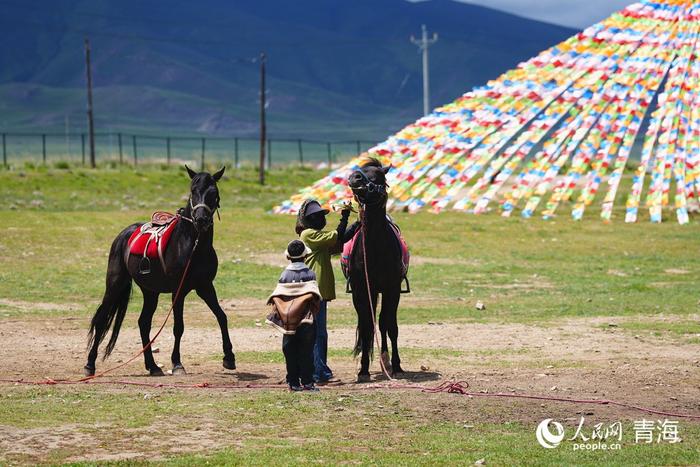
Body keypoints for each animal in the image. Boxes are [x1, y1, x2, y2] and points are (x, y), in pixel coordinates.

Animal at [83, 166, 237, 378]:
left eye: (214, 193)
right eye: (192, 191)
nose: (201, 220)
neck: (193, 245)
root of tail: (124, 235)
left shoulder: (205, 287)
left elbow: (222, 316)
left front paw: (229, 357)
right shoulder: (179, 291)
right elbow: (178, 327)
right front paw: (177, 364)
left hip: (150, 291)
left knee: (143, 323)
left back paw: (153, 366)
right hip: (115, 285)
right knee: (101, 320)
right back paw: (90, 365)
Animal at [346, 159, 402, 382]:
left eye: (378, 175)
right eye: (361, 170)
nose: (355, 177)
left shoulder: (392, 289)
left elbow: (390, 325)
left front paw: (396, 365)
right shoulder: (362, 291)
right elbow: (367, 326)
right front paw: (363, 369)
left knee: (384, 322)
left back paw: (386, 361)